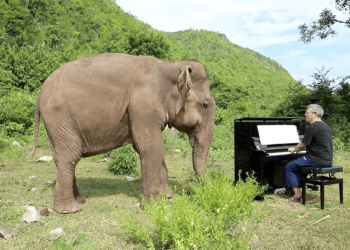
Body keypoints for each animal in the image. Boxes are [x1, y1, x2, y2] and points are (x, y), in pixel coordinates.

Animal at [31, 52, 215, 213]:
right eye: (205, 105)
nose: (209, 188)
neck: (170, 65)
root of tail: (40, 93)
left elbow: (151, 149)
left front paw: (166, 196)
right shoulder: (143, 106)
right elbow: (150, 147)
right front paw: (154, 206)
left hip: (56, 124)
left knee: (61, 156)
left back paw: (80, 200)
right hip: (59, 117)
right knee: (70, 156)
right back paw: (70, 210)